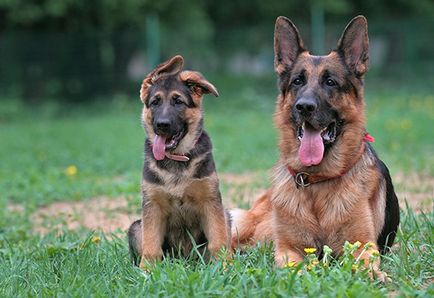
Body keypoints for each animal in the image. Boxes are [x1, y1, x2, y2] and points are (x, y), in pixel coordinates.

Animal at [127, 56, 231, 268]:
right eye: (155, 102)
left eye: (178, 102)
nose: (162, 125)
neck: (176, 158)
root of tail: (185, 260)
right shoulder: (152, 205)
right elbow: (151, 245)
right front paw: (147, 270)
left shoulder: (211, 202)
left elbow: (218, 241)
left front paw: (224, 267)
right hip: (136, 227)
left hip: (226, 217)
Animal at [231, 15, 400, 280]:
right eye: (297, 81)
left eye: (330, 82)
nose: (304, 107)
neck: (317, 182)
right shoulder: (287, 248)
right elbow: (295, 266)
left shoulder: (363, 244)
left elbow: (365, 263)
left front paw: (375, 275)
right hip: (260, 231)